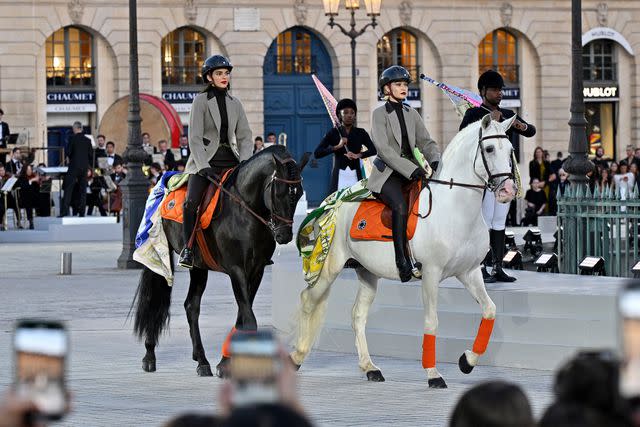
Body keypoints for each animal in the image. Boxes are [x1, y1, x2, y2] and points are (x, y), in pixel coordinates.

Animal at [292, 113, 516, 388]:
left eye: (511, 150)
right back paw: (297, 356)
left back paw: (370, 368)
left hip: (367, 272)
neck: (455, 208)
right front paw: (433, 374)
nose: (508, 190)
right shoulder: (431, 273)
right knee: (308, 300)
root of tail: (335, 203)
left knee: (358, 315)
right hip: (330, 267)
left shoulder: (470, 272)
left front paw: (467, 361)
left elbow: (490, 310)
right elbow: (432, 321)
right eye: (490, 148)